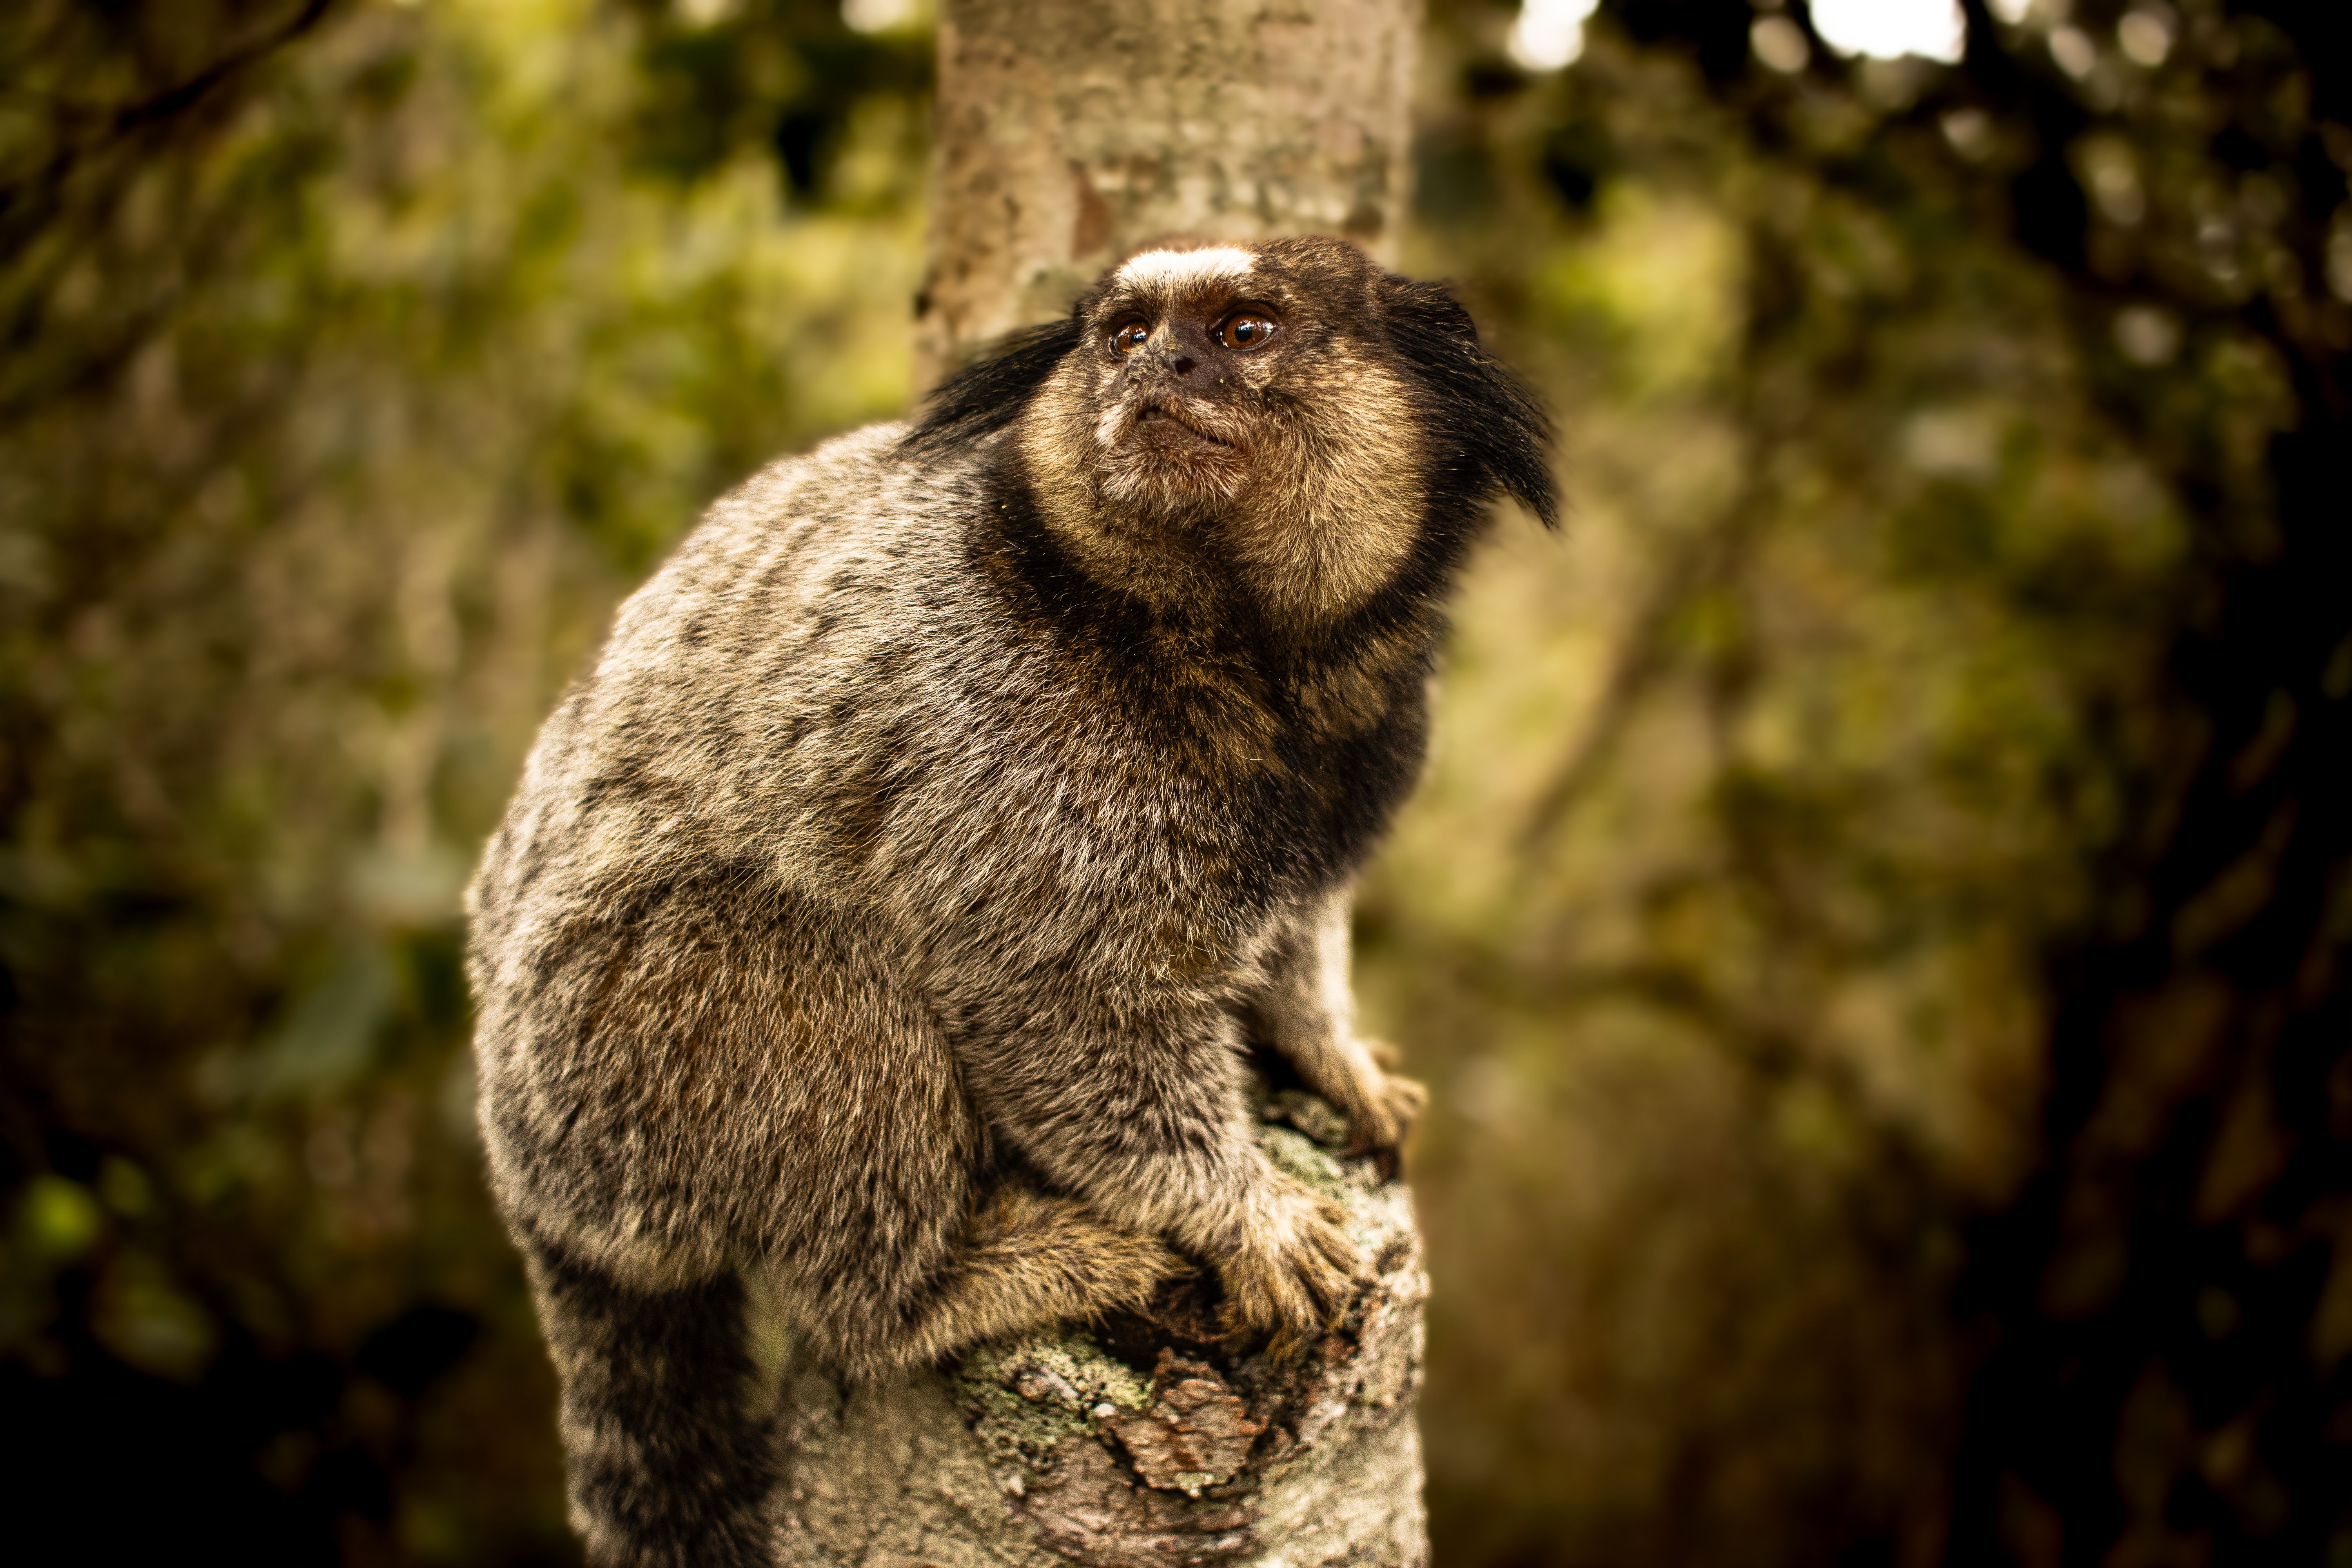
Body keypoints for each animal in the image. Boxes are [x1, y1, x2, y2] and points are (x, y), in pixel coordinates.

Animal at [464, 234, 1555, 1567]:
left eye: (1242, 331)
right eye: (1127, 337)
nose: (1160, 369)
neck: (1241, 659)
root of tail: (528, 1187)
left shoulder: (1351, 758)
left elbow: (1296, 927)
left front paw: (1328, 1050)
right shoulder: (1013, 742)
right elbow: (1055, 1005)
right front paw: (1237, 1211)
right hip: (613, 1058)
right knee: (803, 990)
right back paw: (934, 1292)